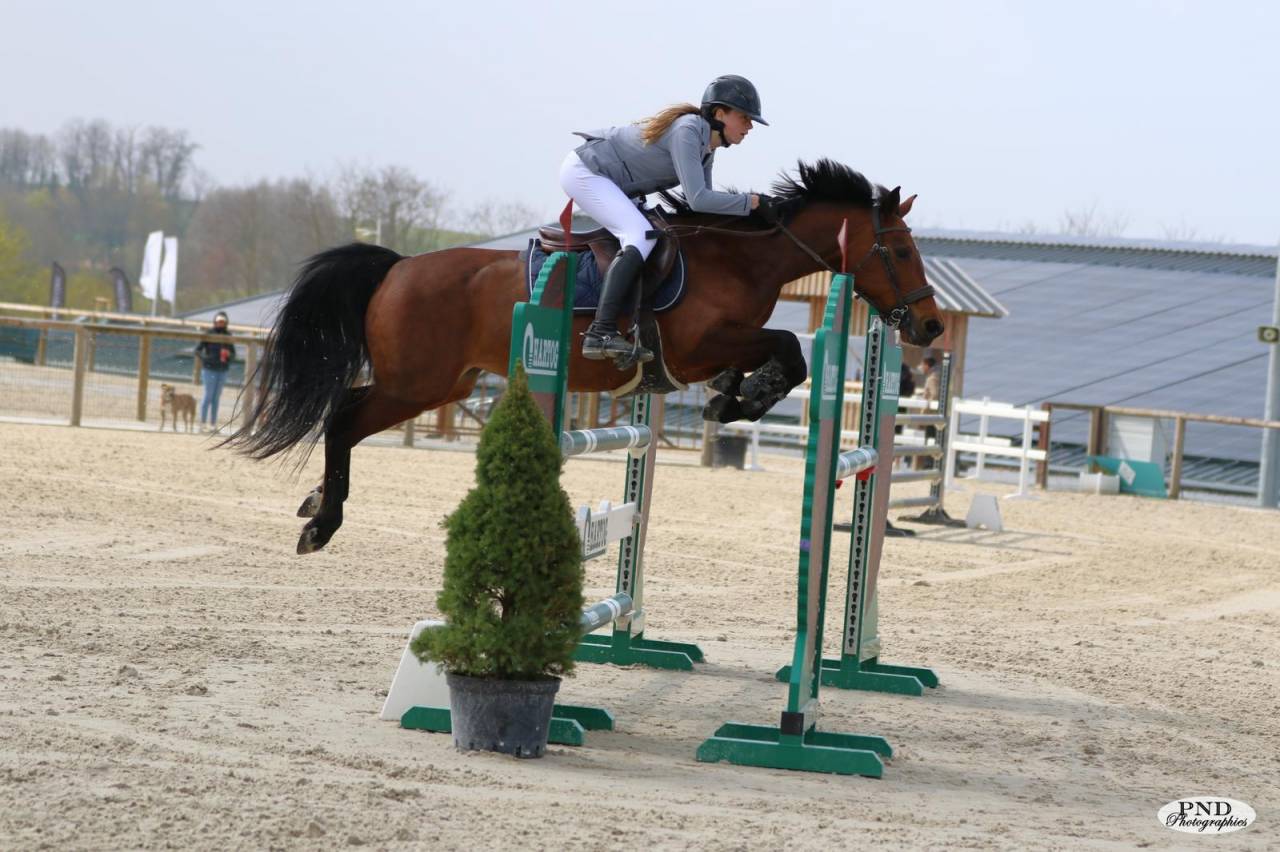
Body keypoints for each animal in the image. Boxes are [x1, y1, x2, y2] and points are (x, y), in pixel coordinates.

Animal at [227, 160, 944, 554]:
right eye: (901, 250)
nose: (932, 325)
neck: (741, 257)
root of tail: (398, 266)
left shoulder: (709, 352)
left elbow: (770, 361)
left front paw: (733, 397)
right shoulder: (699, 344)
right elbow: (790, 350)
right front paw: (741, 399)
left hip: (440, 386)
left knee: (345, 416)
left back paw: (315, 503)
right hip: (414, 383)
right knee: (342, 419)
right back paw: (322, 523)